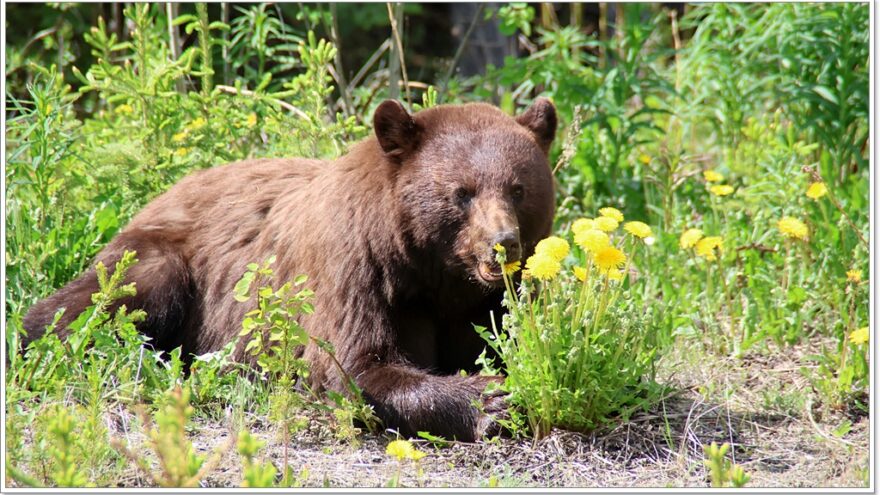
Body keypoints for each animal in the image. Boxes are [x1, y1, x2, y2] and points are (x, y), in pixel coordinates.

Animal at [24, 97, 556, 442]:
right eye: (462, 193)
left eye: (518, 188)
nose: (502, 244)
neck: (431, 273)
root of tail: (164, 193)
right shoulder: (355, 270)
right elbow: (354, 366)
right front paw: (492, 400)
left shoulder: (491, 300)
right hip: (164, 263)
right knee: (95, 305)